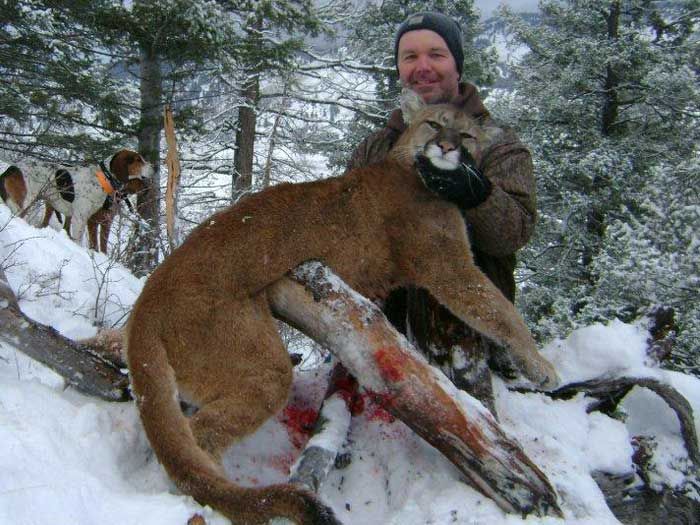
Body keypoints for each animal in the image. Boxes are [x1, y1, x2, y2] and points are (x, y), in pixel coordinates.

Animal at [125, 91, 559, 525]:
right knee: (199, 439)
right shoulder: (448, 265)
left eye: (467, 135)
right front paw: (542, 367)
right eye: (434, 124)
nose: (447, 147)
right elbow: (500, 312)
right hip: (259, 362)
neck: (417, 174)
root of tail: (146, 300)